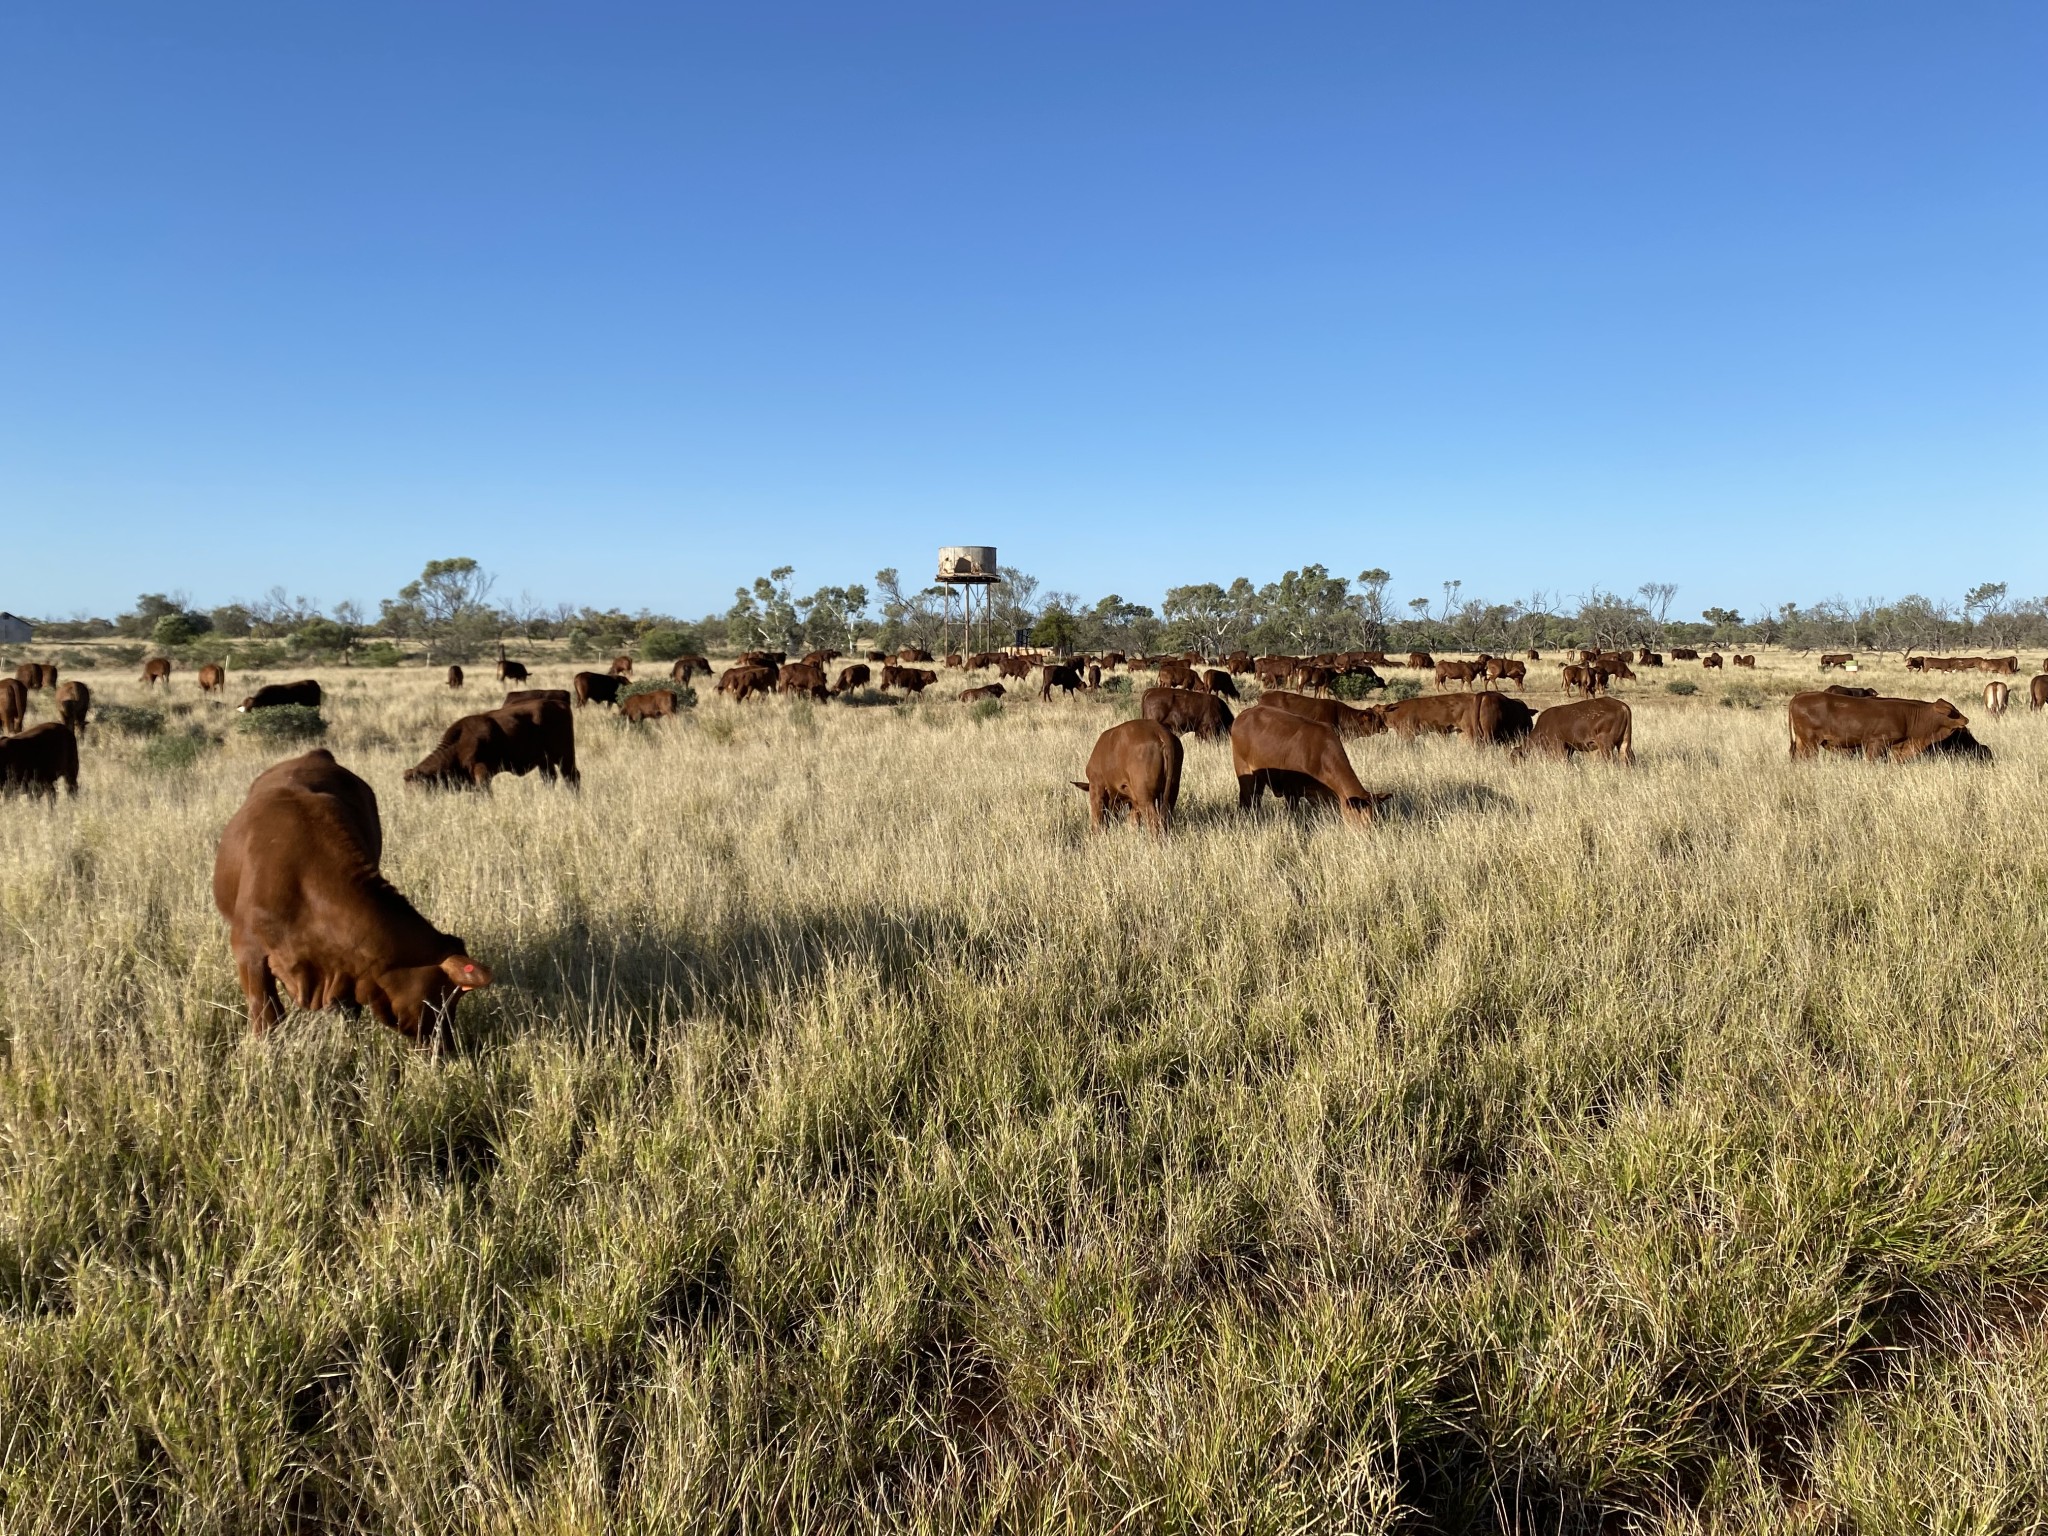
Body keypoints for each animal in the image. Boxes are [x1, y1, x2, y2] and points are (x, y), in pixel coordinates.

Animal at [214, 749, 493, 1048]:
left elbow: (347, 1010)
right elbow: (266, 1015)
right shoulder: (249, 953)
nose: (448, 1045)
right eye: (443, 997)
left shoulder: (347, 968)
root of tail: (315, 754)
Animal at [403, 696, 577, 794]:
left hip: (564, 756)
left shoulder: (482, 771)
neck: (458, 746)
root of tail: (560, 704)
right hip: (544, 761)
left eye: (417, 787)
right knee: (550, 778)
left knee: (571, 776)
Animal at [1228, 708, 1392, 831]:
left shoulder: (1324, 797)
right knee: (1246, 801)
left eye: (1376, 817)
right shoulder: (1291, 791)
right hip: (1245, 771)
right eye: (1363, 818)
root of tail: (1244, 714)